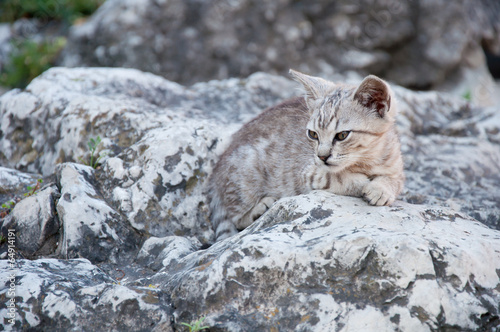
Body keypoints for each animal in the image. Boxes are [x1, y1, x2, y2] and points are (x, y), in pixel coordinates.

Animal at [209, 70, 404, 241]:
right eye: (313, 134)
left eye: (342, 135)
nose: (322, 156)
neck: (367, 159)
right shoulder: (307, 173)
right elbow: (340, 178)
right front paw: (362, 182)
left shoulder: (397, 167)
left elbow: (394, 180)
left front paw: (381, 188)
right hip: (246, 174)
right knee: (235, 218)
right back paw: (259, 209)